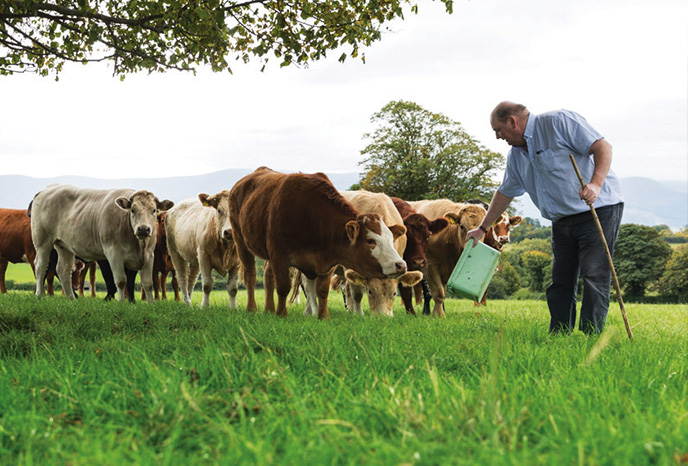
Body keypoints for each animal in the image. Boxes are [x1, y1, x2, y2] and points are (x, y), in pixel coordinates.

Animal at [30, 184, 173, 300]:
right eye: (133, 210)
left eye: (154, 210)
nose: (143, 229)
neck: (139, 245)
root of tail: (48, 189)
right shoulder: (114, 253)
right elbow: (121, 281)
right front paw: (121, 303)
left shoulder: (149, 255)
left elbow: (148, 284)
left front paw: (151, 304)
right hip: (42, 241)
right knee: (40, 265)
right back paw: (39, 294)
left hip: (64, 246)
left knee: (63, 270)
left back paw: (71, 298)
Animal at [228, 168, 406, 320]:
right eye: (370, 241)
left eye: (391, 238)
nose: (400, 265)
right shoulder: (279, 254)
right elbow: (284, 286)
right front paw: (281, 314)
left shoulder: (328, 260)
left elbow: (322, 290)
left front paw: (323, 316)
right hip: (241, 239)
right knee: (251, 274)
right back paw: (252, 308)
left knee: (268, 275)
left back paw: (269, 309)